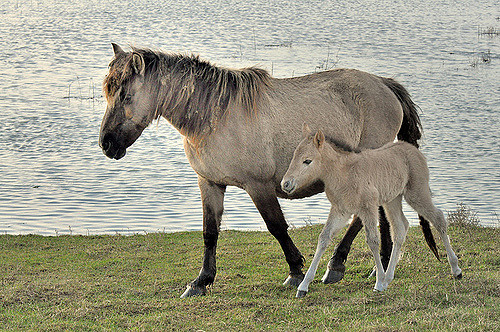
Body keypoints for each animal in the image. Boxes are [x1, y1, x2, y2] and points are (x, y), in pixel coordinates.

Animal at [99, 44, 436, 298]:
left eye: (126, 96)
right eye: (107, 93)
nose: (106, 143)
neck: (214, 116)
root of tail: (385, 84)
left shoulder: (258, 185)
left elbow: (276, 226)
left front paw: (296, 271)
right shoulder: (209, 183)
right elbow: (210, 232)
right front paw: (201, 281)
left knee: (360, 218)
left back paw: (336, 266)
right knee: (379, 216)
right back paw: (380, 265)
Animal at [284, 126, 462, 296]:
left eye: (307, 161)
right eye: (293, 156)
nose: (285, 183)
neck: (344, 173)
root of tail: (413, 150)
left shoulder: (368, 208)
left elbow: (373, 241)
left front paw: (379, 283)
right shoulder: (340, 210)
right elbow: (323, 238)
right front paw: (303, 286)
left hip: (416, 193)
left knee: (438, 219)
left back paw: (456, 269)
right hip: (392, 199)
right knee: (400, 228)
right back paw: (389, 277)